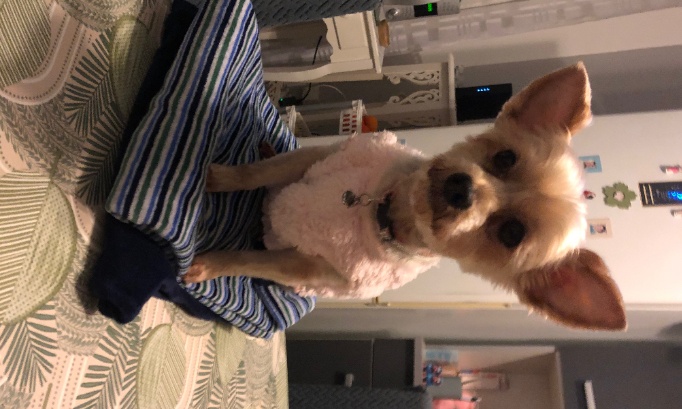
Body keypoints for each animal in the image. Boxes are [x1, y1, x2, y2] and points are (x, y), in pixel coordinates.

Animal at [183, 62, 626, 331]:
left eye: (512, 234)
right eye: (504, 158)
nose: (462, 189)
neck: (379, 211)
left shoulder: (310, 268)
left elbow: (253, 260)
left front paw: (210, 265)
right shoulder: (314, 160)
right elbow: (258, 173)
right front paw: (220, 178)